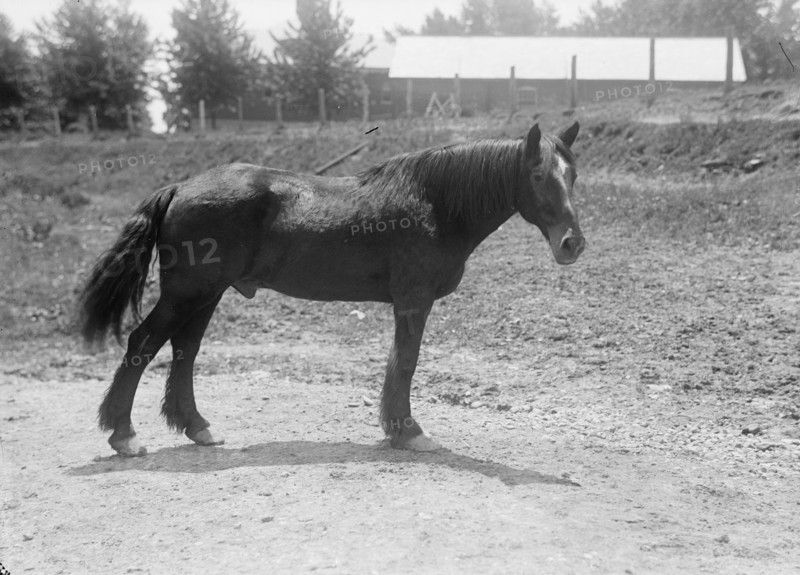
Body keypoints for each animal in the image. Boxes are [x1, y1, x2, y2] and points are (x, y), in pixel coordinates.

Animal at [78, 122, 585, 457]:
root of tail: (181, 187)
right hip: (187, 293)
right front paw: (409, 431)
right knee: (143, 344)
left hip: (206, 294)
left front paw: (396, 429)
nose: (572, 243)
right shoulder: (413, 301)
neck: (435, 203)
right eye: (538, 175)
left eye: (573, 174)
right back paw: (124, 435)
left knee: (185, 351)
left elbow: (398, 363)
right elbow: (407, 363)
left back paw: (198, 428)